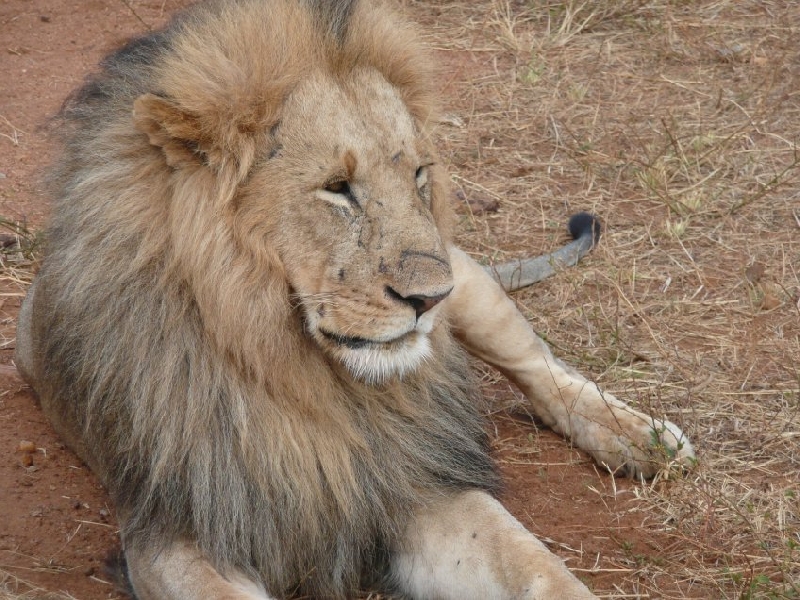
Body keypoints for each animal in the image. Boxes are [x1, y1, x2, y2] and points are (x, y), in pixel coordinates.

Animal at [15, 0, 696, 596]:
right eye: (337, 188)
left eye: (418, 174)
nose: (430, 298)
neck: (301, 376)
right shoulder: (177, 530)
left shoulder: (412, 481)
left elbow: (539, 569)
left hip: (470, 280)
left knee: (538, 366)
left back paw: (643, 439)